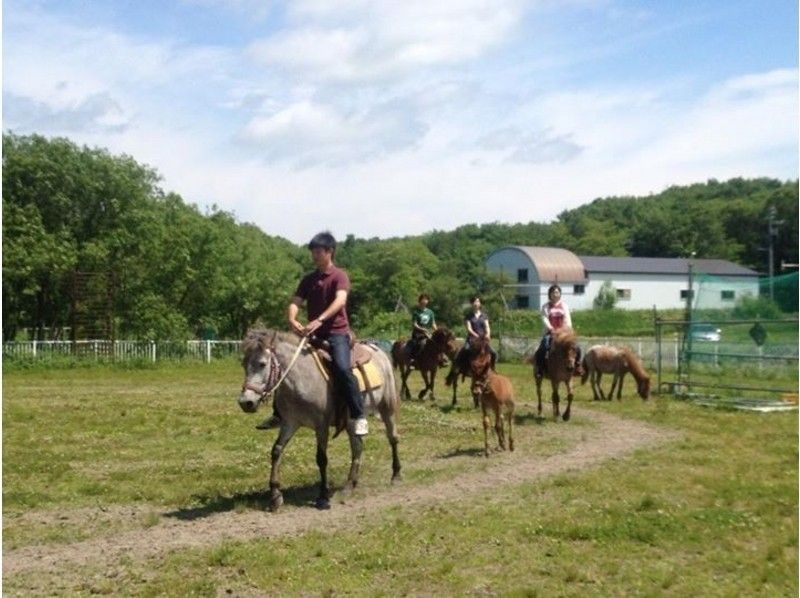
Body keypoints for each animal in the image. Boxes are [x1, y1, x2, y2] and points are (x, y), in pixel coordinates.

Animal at [236, 330, 400, 512]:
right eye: (243, 364)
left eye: (262, 364)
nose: (246, 402)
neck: (301, 379)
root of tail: (377, 350)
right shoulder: (290, 423)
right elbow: (276, 451)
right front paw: (275, 495)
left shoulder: (321, 425)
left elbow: (321, 458)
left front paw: (323, 497)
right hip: (352, 421)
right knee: (357, 447)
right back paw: (349, 485)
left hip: (387, 408)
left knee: (393, 438)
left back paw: (396, 475)